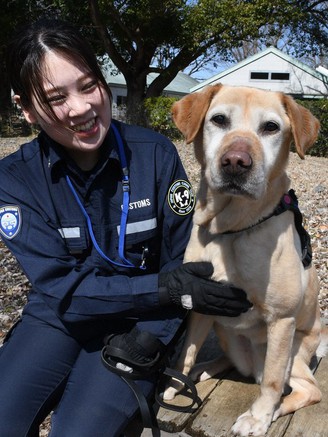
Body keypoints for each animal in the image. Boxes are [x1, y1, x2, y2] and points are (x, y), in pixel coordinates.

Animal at [164, 83, 326, 434]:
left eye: (271, 127)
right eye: (219, 120)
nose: (236, 162)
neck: (231, 229)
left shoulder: (281, 320)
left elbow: (273, 383)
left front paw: (260, 416)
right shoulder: (201, 303)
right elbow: (186, 352)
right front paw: (177, 382)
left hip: (291, 353)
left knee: (305, 388)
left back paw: (275, 410)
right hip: (226, 333)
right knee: (232, 362)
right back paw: (203, 370)